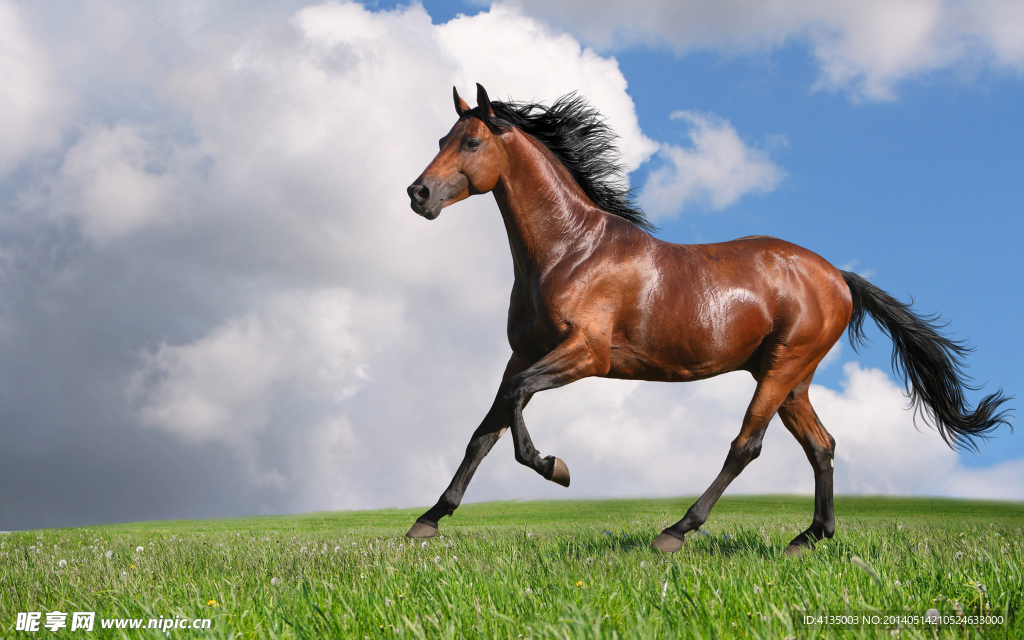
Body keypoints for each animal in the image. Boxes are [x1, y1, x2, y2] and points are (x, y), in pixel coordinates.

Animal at [404, 84, 1011, 554]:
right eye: (441, 140)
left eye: (472, 141)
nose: (418, 193)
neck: (569, 251)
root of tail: (837, 275)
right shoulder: (523, 352)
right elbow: (485, 429)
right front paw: (428, 520)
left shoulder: (585, 354)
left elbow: (514, 406)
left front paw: (555, 466)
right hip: (791, 378)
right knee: (821, 445)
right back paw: (808, 538)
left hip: (783, 368)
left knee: (747, 444)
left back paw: (676, 531)